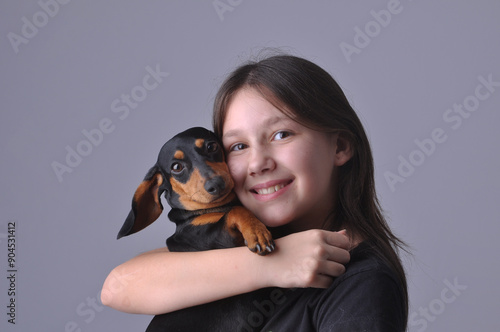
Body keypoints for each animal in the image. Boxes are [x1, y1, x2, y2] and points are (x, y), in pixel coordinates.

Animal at [118, 126, 280, 330]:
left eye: (211, 146)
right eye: (176, 167)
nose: (216, 184)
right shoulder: (210, 236)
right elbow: (236, 210)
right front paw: (257, 232)